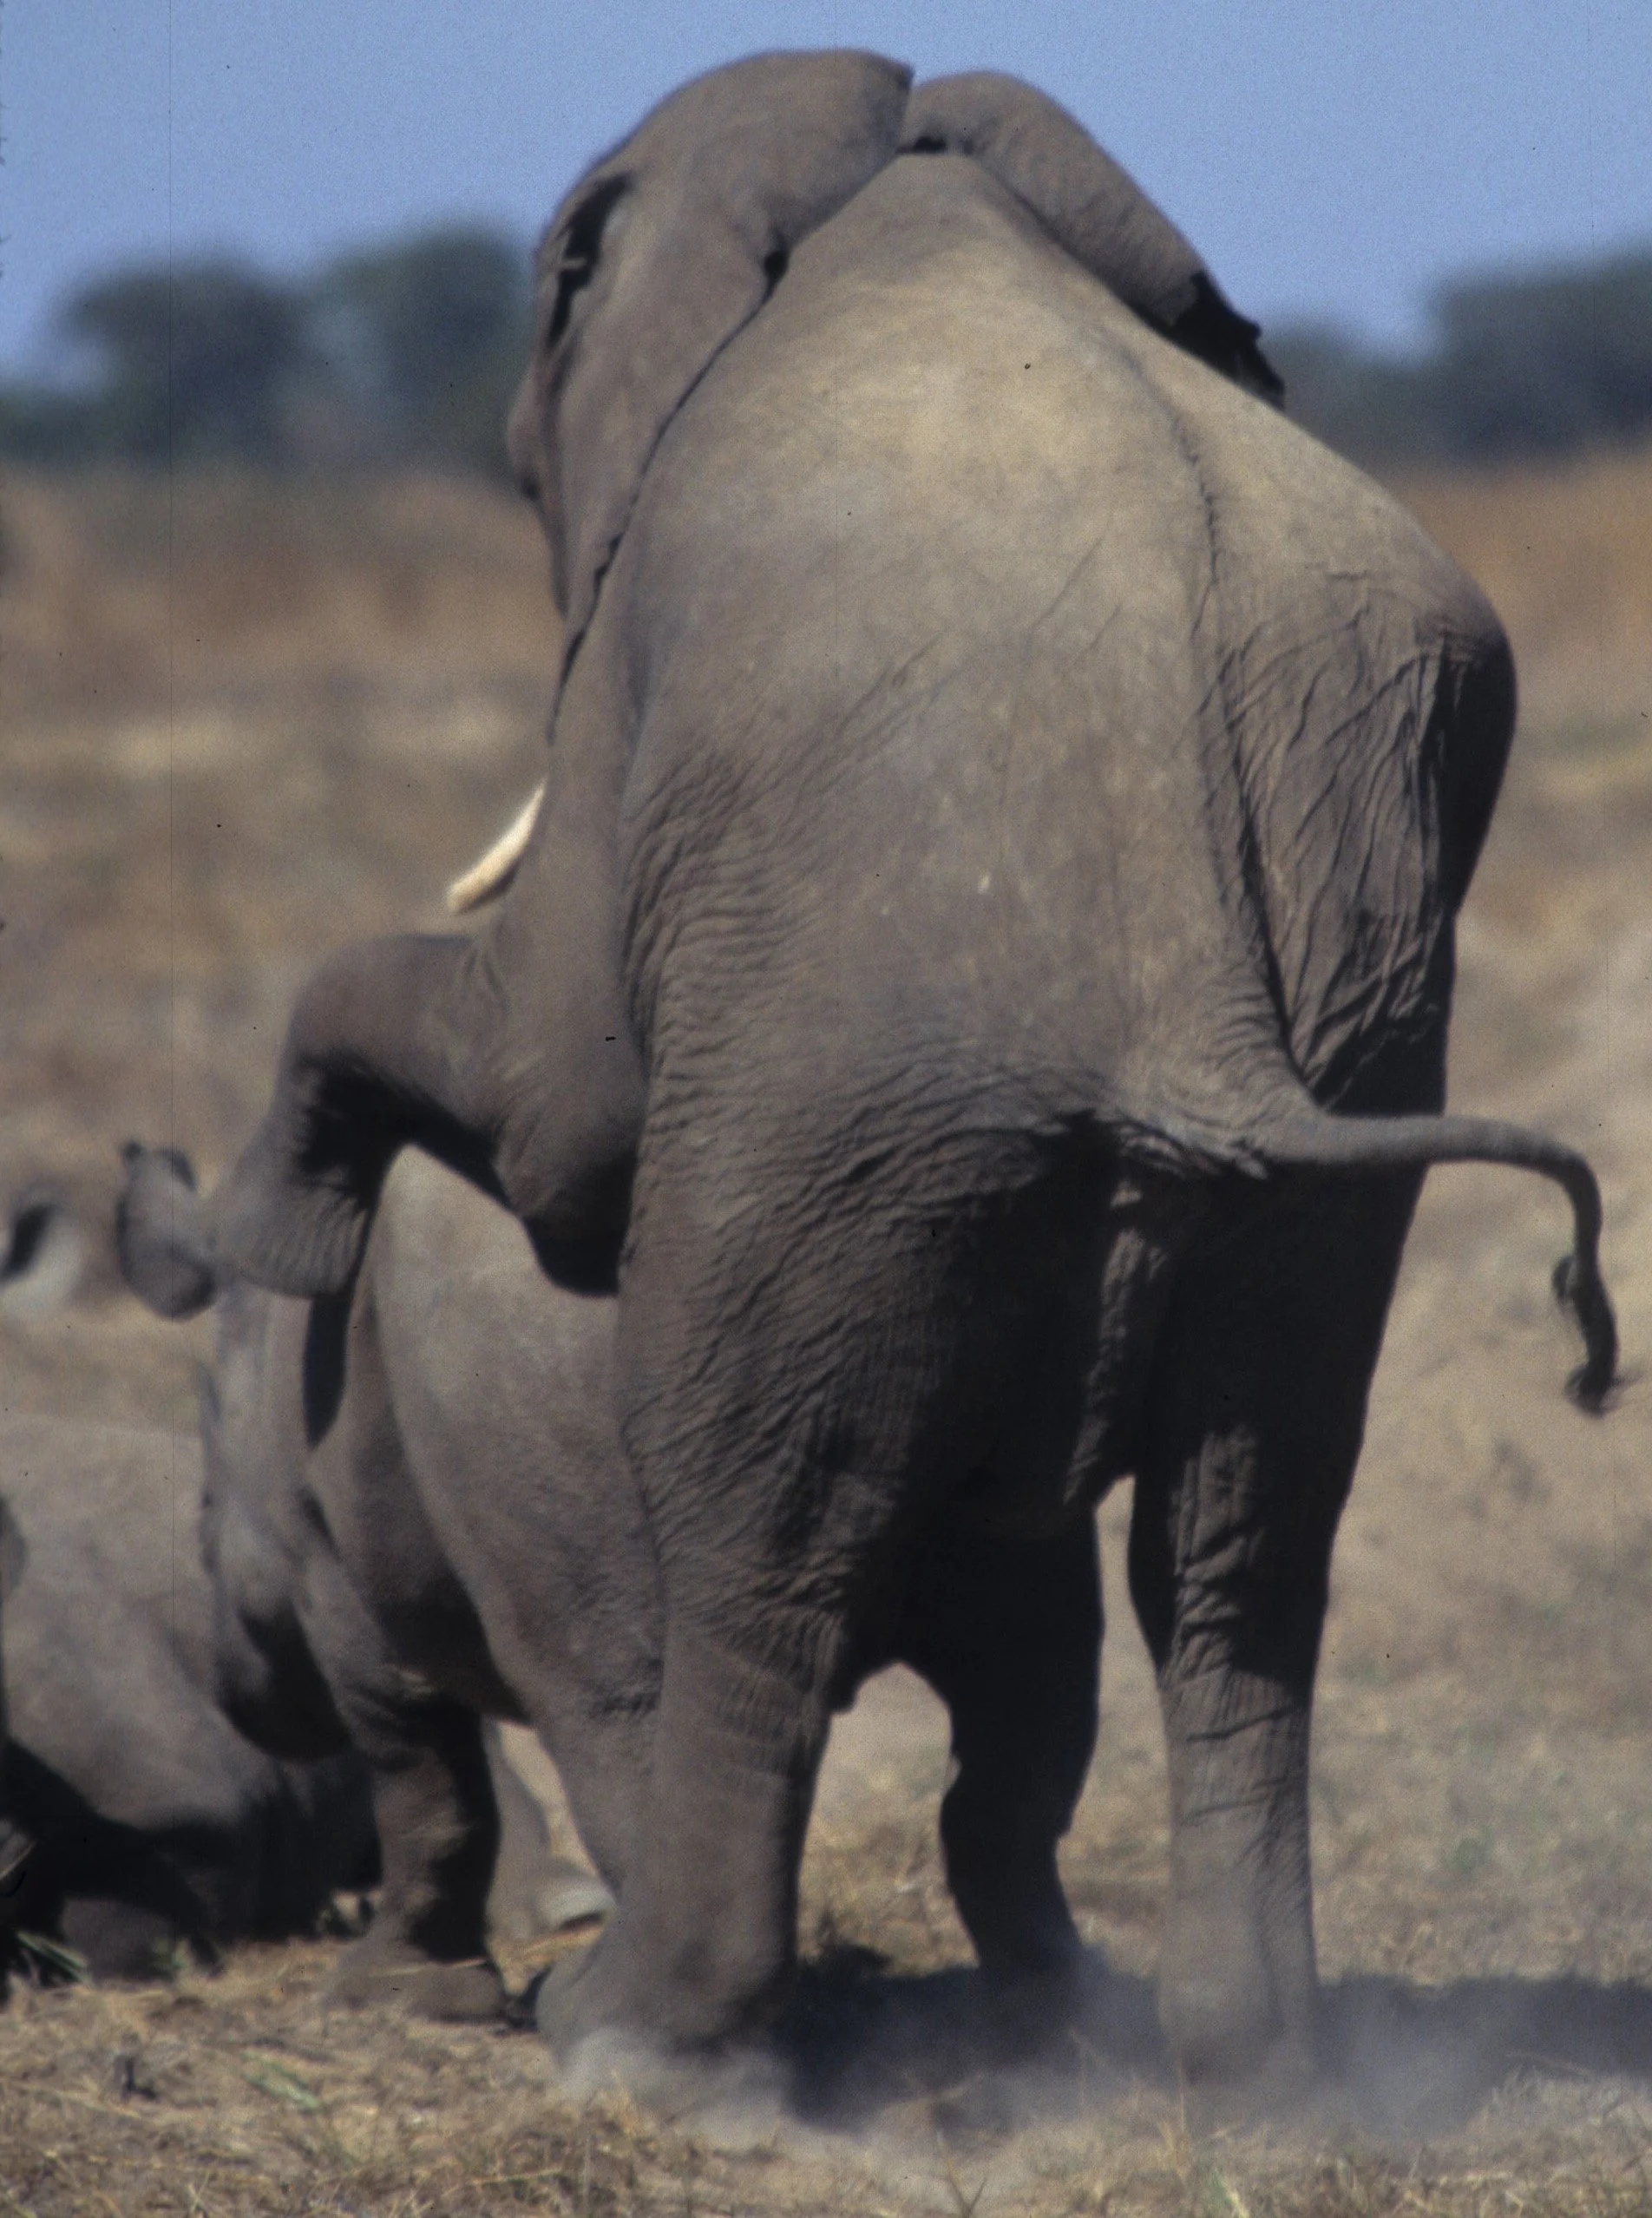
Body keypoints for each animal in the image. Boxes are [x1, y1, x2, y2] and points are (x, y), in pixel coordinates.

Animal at [118, 1136, 1106, 2025]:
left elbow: (422, 1784)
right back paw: (1048, 2025)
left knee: (618, 1703)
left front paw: (390, 1997)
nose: (249, 1706)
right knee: (1031, 1684)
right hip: (988, 1317)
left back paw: (617, 2017)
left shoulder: (336, 1586)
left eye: (202, 1520)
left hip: (578, 1357)